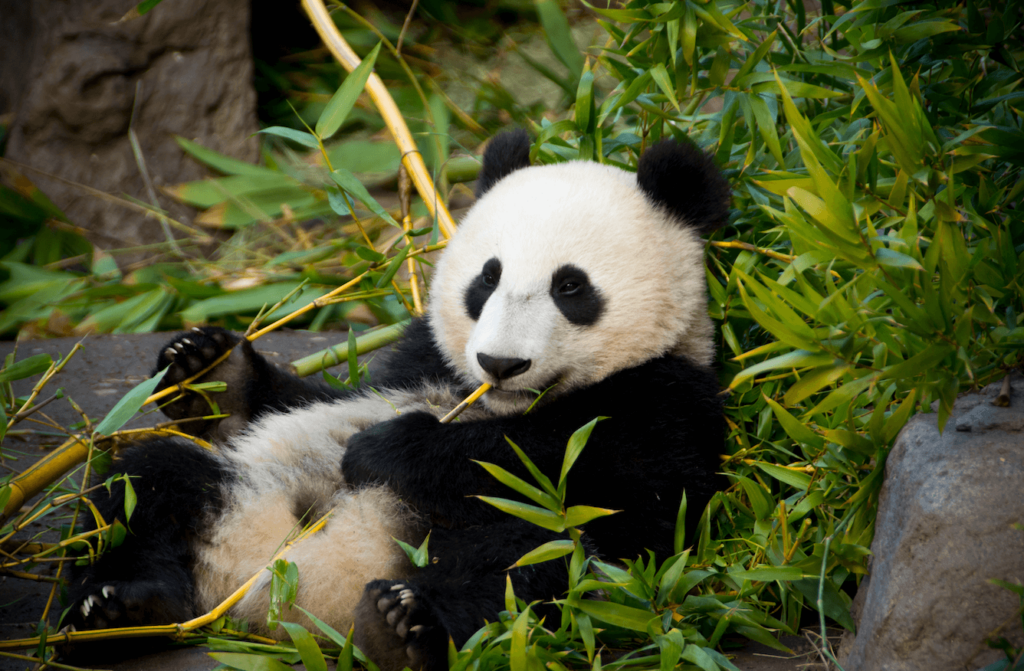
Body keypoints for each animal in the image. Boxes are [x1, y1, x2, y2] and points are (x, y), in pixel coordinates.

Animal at [68, 130, 733, 671]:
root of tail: (300, 602)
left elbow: (609, 473)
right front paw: (208, 367)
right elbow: (319, 396)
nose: (500, 364)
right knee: (144, 489)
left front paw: (393, 448)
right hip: (241, 491)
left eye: (570, 286)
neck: (501, 403)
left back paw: (402, 628)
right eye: (487, 278)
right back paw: (119, 612)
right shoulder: (421, 359)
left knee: (527, 564)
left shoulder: (671, 393)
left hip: (522, 539)